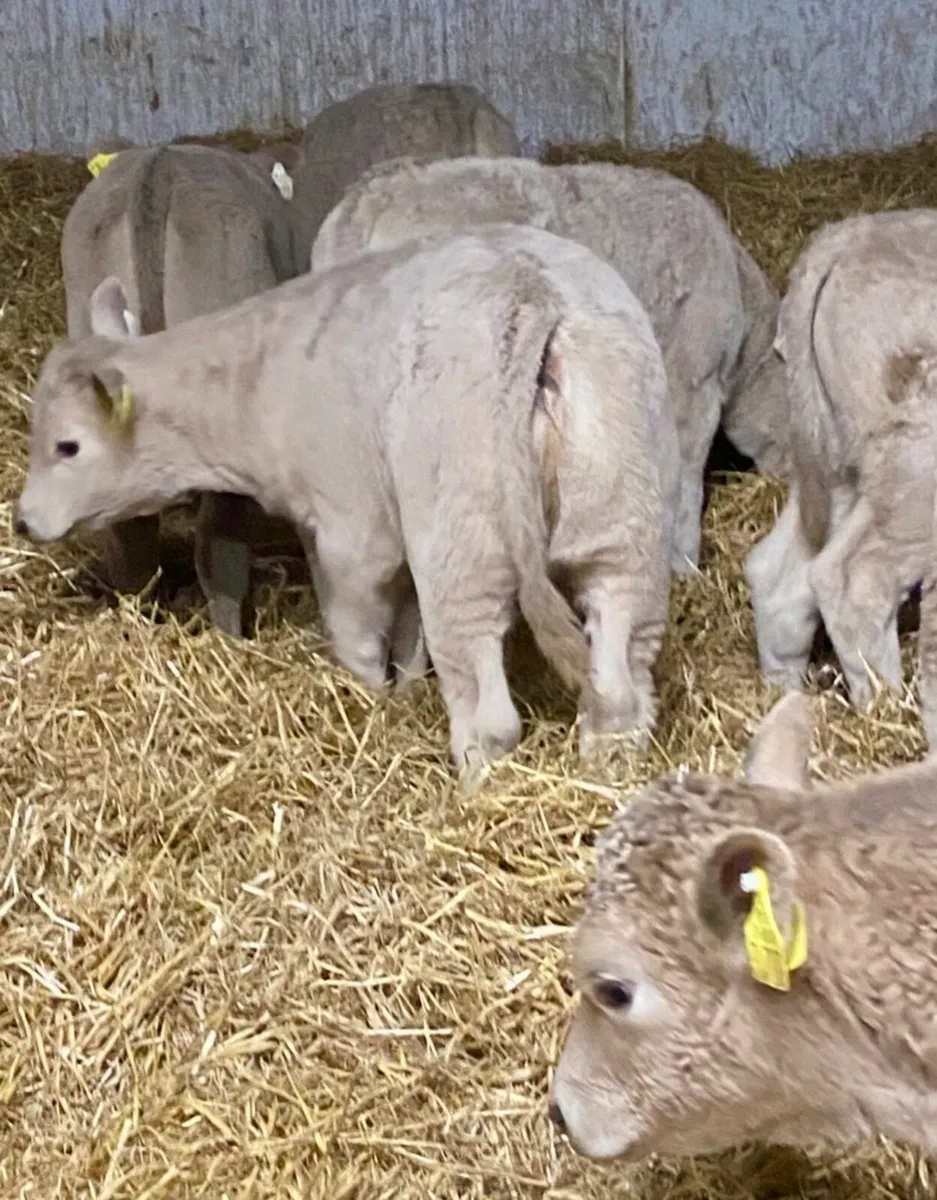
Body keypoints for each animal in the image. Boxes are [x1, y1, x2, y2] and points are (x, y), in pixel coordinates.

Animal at [15, 224, 679, 789]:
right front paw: (406, 690)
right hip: (621, 513)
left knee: (489, 706)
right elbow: (409, 634)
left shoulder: (353, 531)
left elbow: (358, 633)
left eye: (68, 445)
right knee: (623, 680)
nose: (22, 520)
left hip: (464, 539)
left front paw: (368, 699)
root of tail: (527, 290)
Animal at [744, 209, 937, 746]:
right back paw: (887, 710)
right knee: (856, 580)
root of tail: (849, 237)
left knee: (780, 573)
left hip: (838, 466)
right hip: (912, 468)